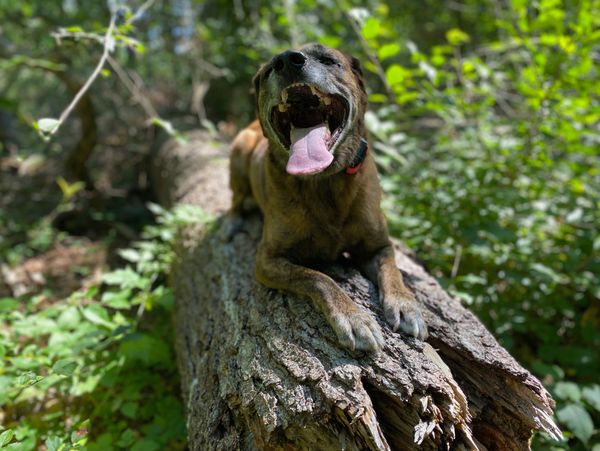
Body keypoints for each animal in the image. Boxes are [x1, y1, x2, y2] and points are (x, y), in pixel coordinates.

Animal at [229, 43, 426, 354]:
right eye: (270, 69)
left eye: (328, 60)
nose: (287, 60)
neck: (324, 182)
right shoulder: (268, 260)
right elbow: (319, 278)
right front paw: (353, 317)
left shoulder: (379, 246)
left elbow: (393, 270)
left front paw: (405, 303)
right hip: (238, 155)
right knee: (235, 201)